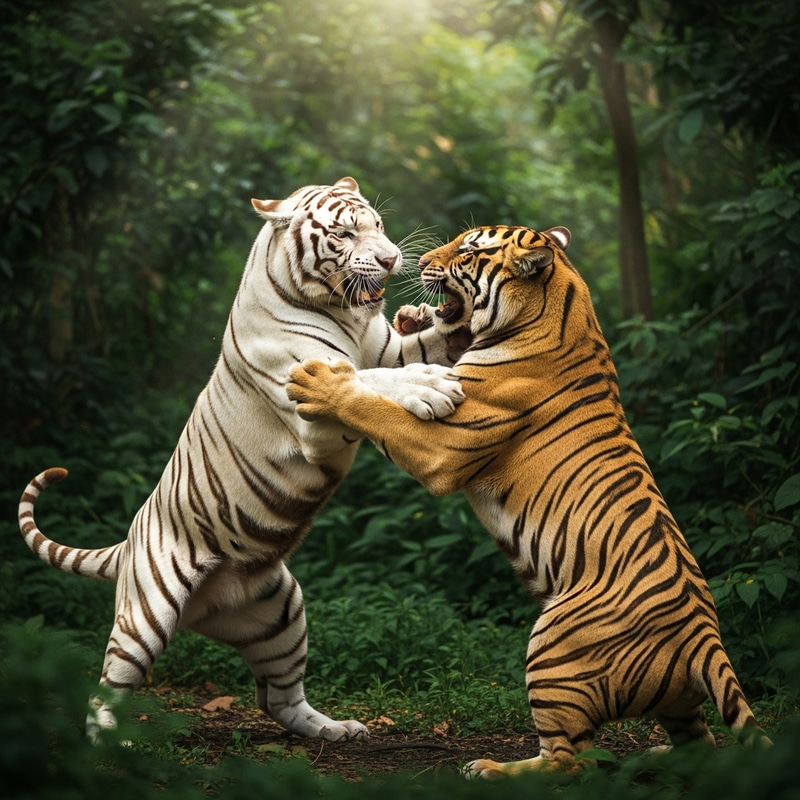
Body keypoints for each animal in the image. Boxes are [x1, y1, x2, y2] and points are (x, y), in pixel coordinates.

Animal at [17, 177, 465, 744]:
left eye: (379, 225)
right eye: (345, 233)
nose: (390, 259)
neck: (341, 311)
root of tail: (125, 546)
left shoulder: (385, 347)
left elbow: (407, 353)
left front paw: (445, 323)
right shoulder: (311, 411)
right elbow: (365, 382)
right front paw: (429, 388)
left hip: (282, 610)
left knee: (278, 698)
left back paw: (334, 729)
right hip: (146, 616)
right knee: (109, 685)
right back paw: (107, 744)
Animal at [286, 224, 770, 777]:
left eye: (468, 250)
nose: (421, 262)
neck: (556, 308)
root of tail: (704, 635)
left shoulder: (442, 446)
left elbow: (376, 408)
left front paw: (319, 383)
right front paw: (413, 319)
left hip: (553, 645)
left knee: (570, 762)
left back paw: (492, 769)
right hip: (670, 701)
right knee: (698, 744)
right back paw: (654, 755)